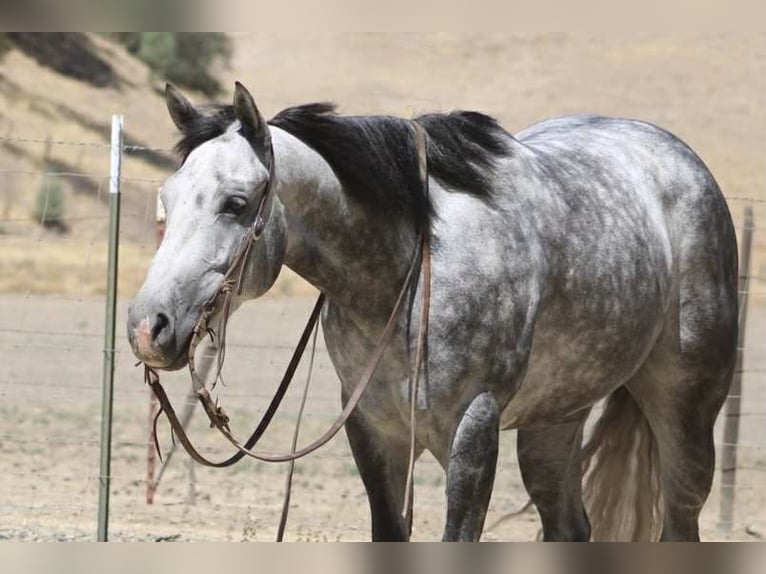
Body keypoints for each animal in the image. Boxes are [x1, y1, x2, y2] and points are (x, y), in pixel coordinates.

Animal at [127, 82, 737, 541]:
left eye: (235, 203)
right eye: (168, 199)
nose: (148, 326)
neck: (410, 272)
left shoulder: (472, 431)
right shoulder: (375, 432)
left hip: (685, 414)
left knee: (680, 523)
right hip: (554, 419)